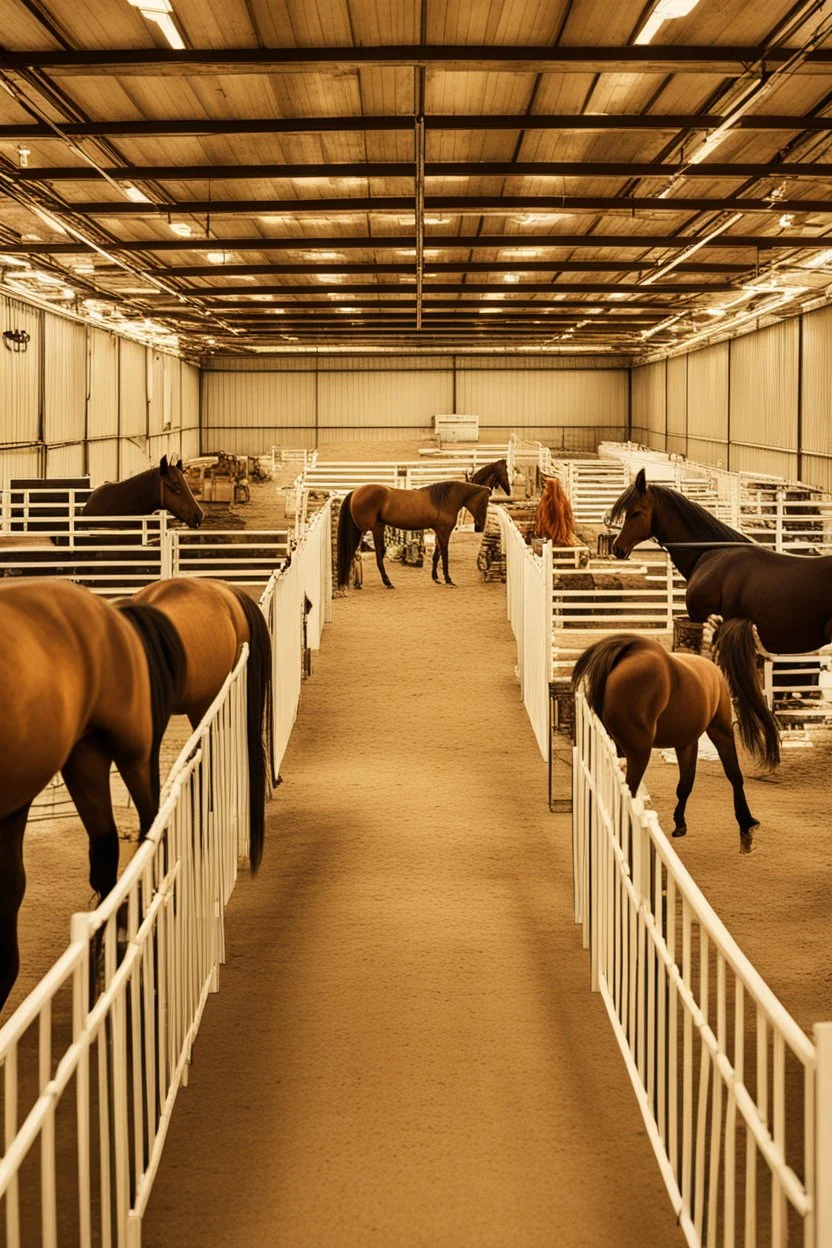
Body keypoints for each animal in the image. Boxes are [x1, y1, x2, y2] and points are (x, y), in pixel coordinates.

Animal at [339, 481, 493, 589]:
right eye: (484, 502)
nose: (481, 525)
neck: (444, 500)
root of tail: (356, 491)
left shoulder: (438, 531)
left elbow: (437, 554)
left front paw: (436, 578)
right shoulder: (444, 531)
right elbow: (444, 553)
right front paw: (448, 580)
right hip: (370, 529)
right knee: (363, 554)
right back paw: (383, 582)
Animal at [573, 638, 763, 853]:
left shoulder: (686, 743)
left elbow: (685, 783)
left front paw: (680, 823)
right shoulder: (720, 730)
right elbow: (734, 775)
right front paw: (746, 825)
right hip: (642, 752)